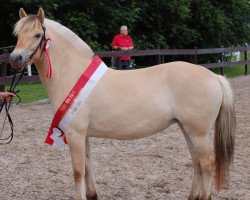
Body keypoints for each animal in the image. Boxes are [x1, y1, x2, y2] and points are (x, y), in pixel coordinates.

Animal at [10, 7, 236, 200]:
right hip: (186, 129)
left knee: (207, 164)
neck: (73, 73)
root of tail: (215, 77)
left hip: (198, 132)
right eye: (17, 35)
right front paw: (92, 195)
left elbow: (78, 171)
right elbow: (88, 166)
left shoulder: (75, 134)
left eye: (37, 35)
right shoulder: (83, 135)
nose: (15, 58)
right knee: (197, 163)